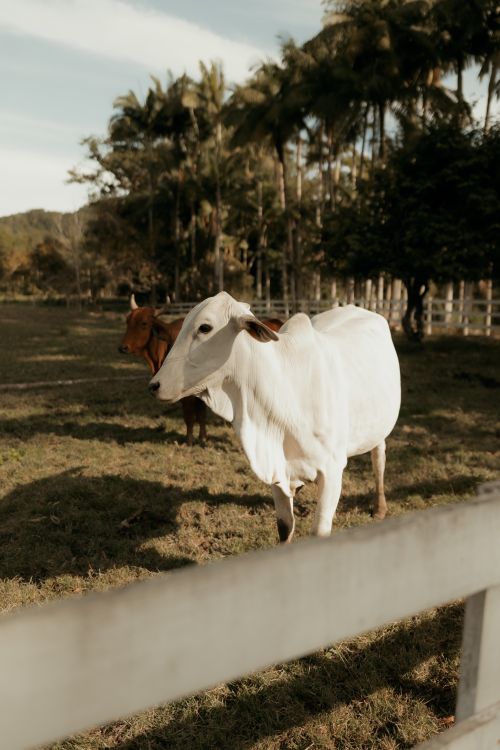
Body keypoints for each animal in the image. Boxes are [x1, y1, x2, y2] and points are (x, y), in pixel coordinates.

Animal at [119, 295, 208, 446]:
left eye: (144, 323)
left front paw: (189, 441)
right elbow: (200, 415)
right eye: (128, 321)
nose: (123, 347)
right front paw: (202, 439)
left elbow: (190, 416)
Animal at [148, 292, 401, 543]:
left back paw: (380, 507)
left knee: (379, 459)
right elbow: (284, 526)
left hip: (379, 430)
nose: (154, 385)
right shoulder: (277, 467)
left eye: (205, 327)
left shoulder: (332, 469)